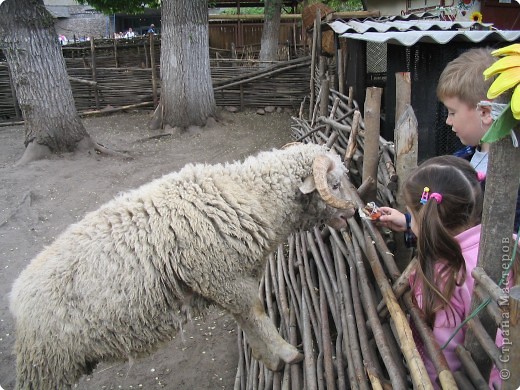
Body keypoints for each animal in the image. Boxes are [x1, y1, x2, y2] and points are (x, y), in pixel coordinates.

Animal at [10, 142, 356, 388]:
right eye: (335, 184)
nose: (355, 211)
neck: (251, 195)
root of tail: (17, 296)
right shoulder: (222, 277)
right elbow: (257, 314)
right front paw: (287, 353)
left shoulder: (229, 281)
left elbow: (246, 319)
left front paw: (267, 358)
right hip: (49, 363)